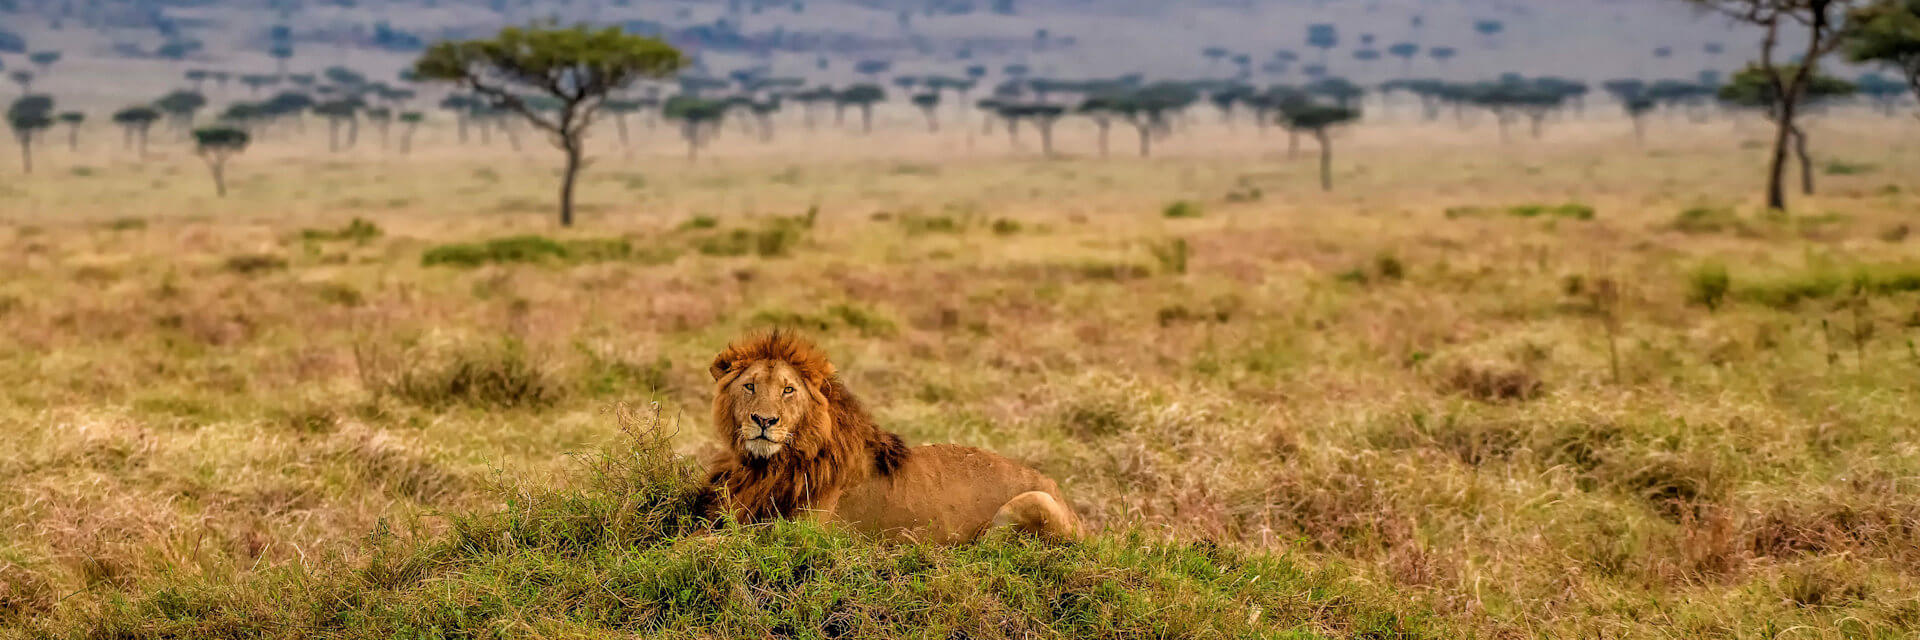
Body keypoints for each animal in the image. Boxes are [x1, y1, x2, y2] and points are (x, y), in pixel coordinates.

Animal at [697, 330, 1080, 544]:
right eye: (750, 386)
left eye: (788, 390)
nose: (764, 420)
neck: (769, 466)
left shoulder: (803, 533)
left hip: (1035, 501)